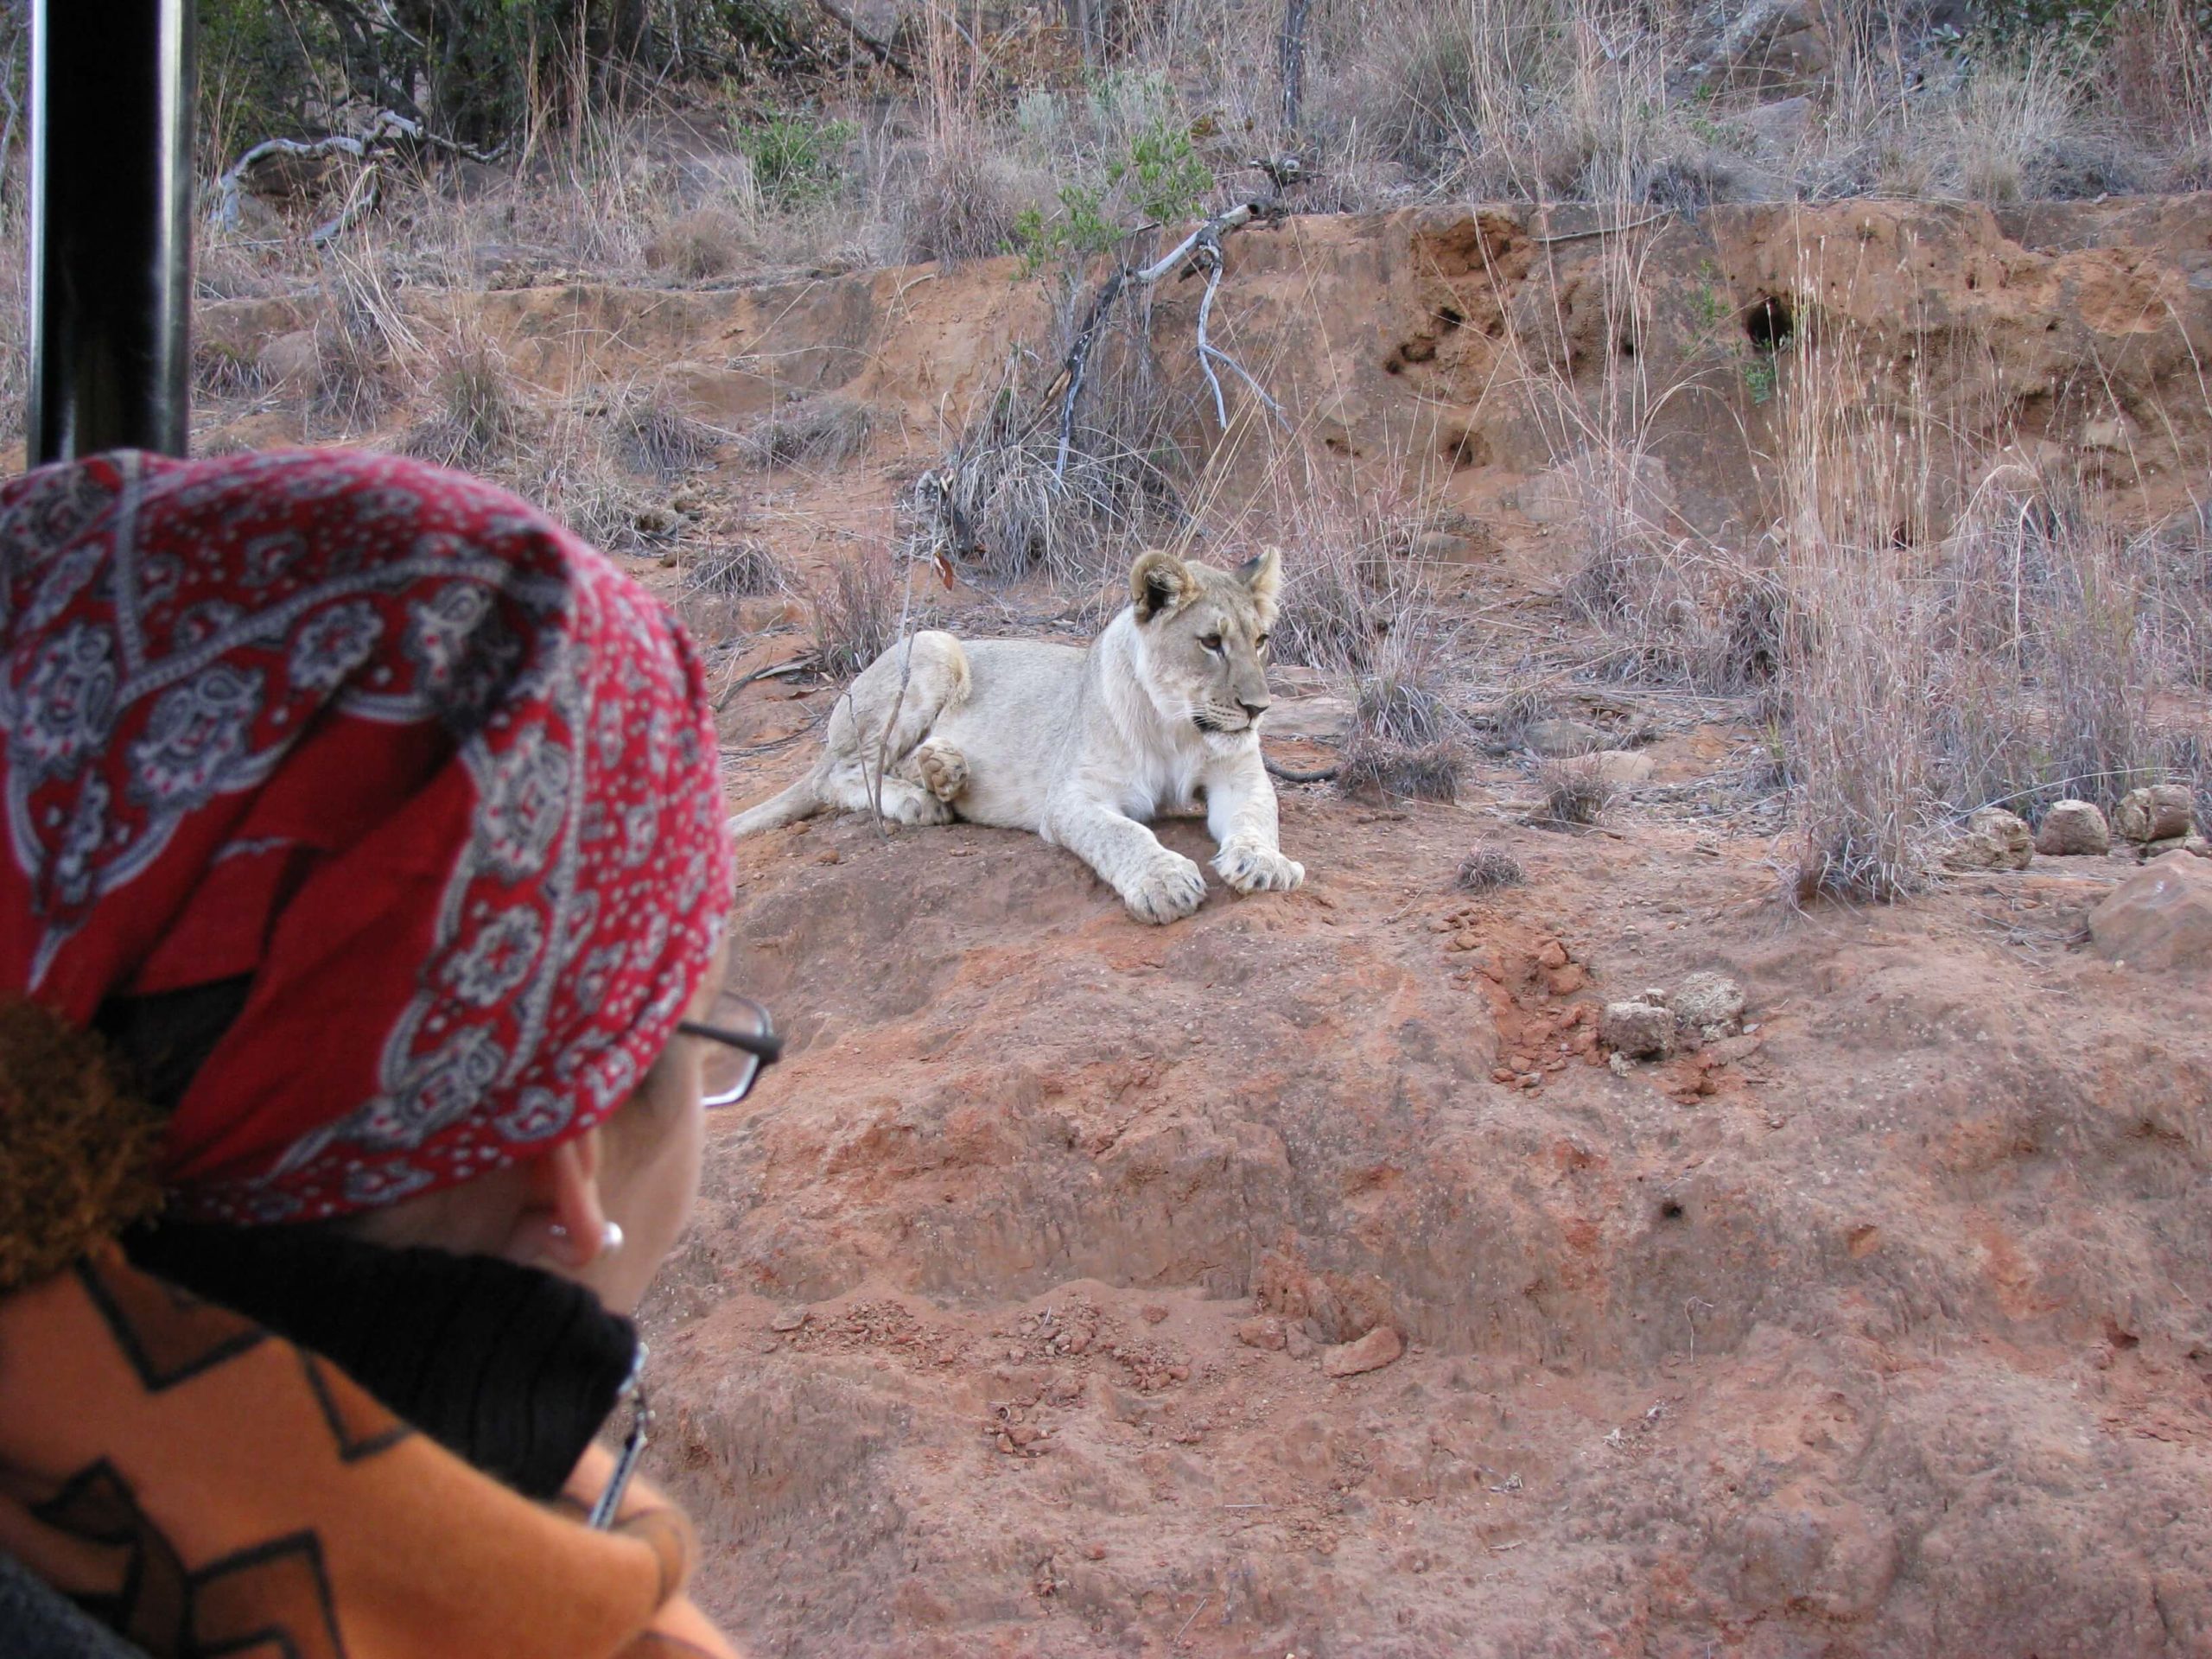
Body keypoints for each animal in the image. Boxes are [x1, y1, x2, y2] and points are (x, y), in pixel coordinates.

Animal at [727, 546, 1305, 924]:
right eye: (1210, 642)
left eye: (1261, 640)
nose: (1259, 709)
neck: (1176, 727)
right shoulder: (1072, 796)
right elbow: (1123, 833)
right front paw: (1164, 882)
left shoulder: (1240, 776)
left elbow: (1258, 816)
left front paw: (1264, 864)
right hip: (932, 645)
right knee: (841, 775)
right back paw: (918, 800)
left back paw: (944, 770)